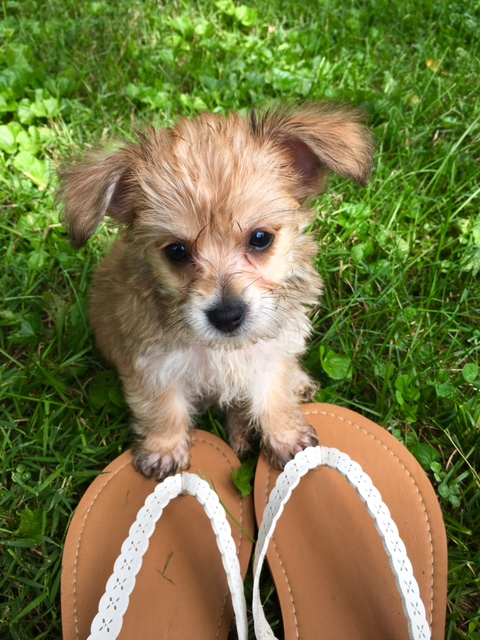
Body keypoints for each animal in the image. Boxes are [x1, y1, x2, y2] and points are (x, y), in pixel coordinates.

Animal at [60, 101, 376, 480]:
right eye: (176, 251)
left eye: (260, 238)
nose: (227, 315)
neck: (222, 350)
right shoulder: (152, 363)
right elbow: (163, 408)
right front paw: (164, 450)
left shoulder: (273, 352)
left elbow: (275, 396)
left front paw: (286, 437)